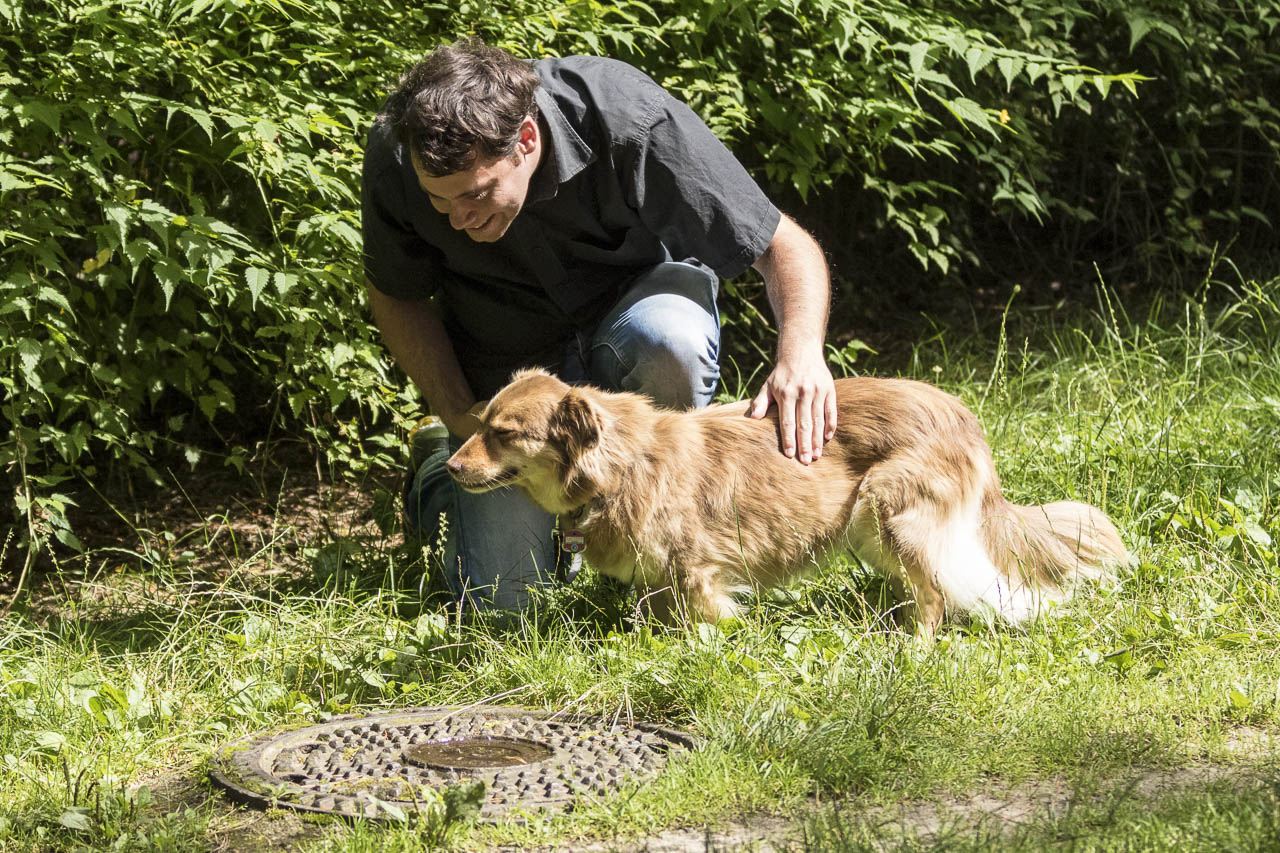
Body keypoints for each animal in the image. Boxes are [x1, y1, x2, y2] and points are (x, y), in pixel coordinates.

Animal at [445, 369, 1125, 638]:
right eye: (480, 425)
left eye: (504, 433)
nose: (450, 467)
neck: (617, 466)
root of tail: (963, 418)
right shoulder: (658, 579)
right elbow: (658, 618)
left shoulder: (697, 570)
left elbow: (703, 622)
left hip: (888, 511)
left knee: (934, 594)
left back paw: (911, 646)